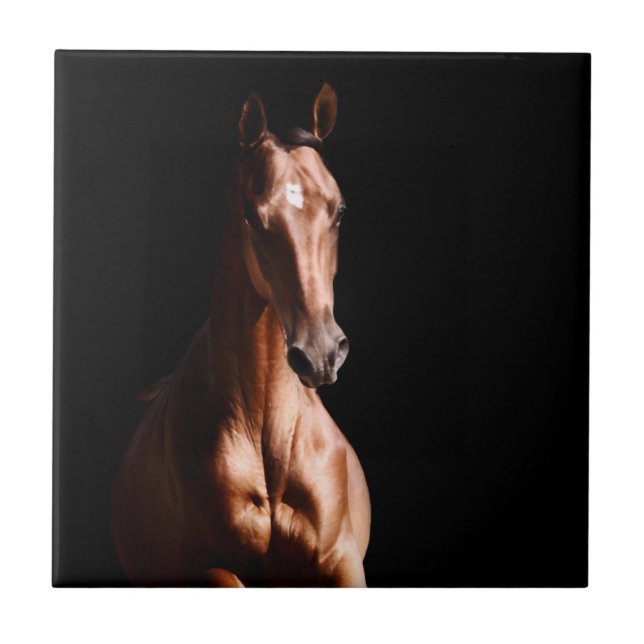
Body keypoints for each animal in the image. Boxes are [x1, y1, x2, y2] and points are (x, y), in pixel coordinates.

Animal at [111, 83, 371, 587]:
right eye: (252, 215)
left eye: (340, 210)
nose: (321, 352)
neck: (266, 430)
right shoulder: (212, 568)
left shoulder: (341, 559)